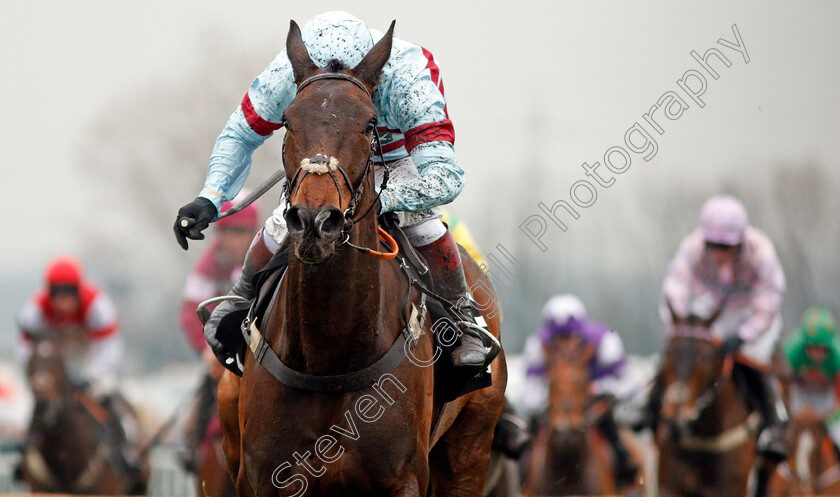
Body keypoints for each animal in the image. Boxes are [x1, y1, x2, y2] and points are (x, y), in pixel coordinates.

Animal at [217, 20, 506, 496]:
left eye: (370, 123)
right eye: (288, 120)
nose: (315, 221)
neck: (328, 354)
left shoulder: (404, 479)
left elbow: (442, 170)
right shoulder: (262, 477)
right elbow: (240, 131)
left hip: (472, 447)